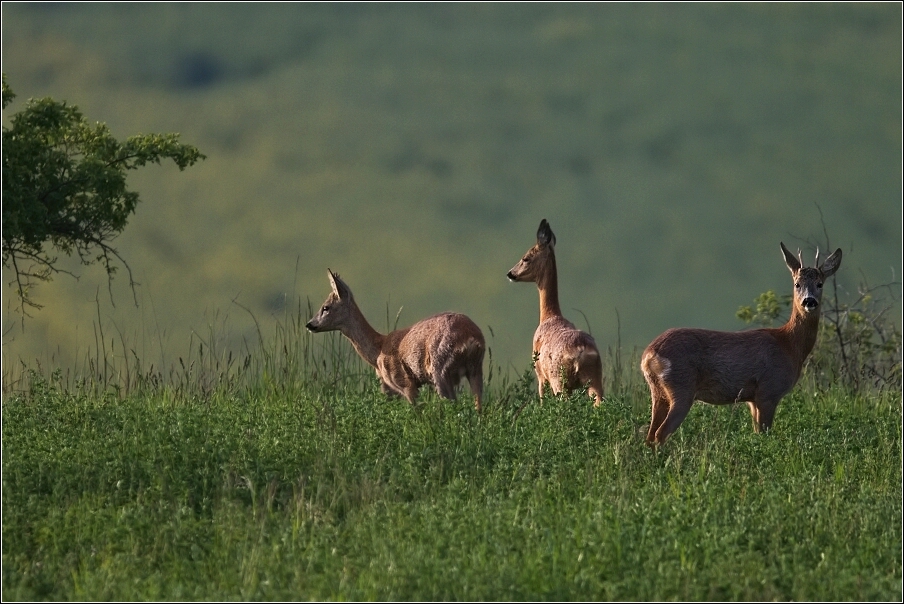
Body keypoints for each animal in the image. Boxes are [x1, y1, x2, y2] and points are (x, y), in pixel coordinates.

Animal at [306, 272, 488, 412]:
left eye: (326, 307)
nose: (309, 324)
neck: (378, 350)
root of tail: (472, 337)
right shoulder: (390, 388)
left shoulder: (404, 381)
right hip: (475, 368)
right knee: (479, 406)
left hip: (440, 369)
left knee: (452, 404)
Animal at [504, 218, 604, 406]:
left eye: (526, 258)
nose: (510, 273)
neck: (549, 316)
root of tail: (581, 350)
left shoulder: (540, 374)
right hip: (595, 376)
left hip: (559, 378)